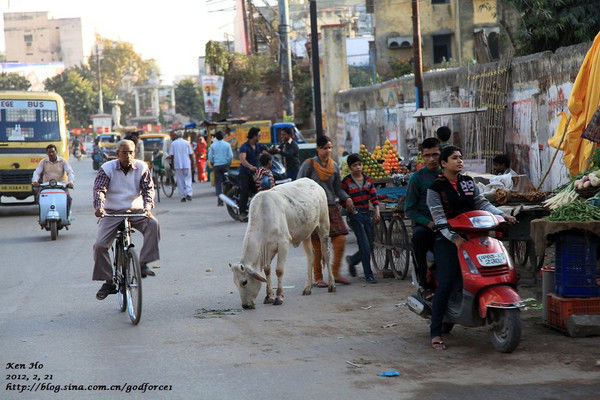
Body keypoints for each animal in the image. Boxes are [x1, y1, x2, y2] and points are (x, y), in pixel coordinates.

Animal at [230, 179, 332, 310]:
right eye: (235, 283)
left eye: (244, 282)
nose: (245, 306)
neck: (264, 217)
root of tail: (315, 183)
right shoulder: (267, 249)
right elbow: (267, 270)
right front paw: (269, 296)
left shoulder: (283, 244)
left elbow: (279, 270)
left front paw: (279, 297)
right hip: (306, 234)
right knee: (311, 257)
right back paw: (307, 288)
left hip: (324, 226)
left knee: (326, 253)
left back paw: (332, 285)